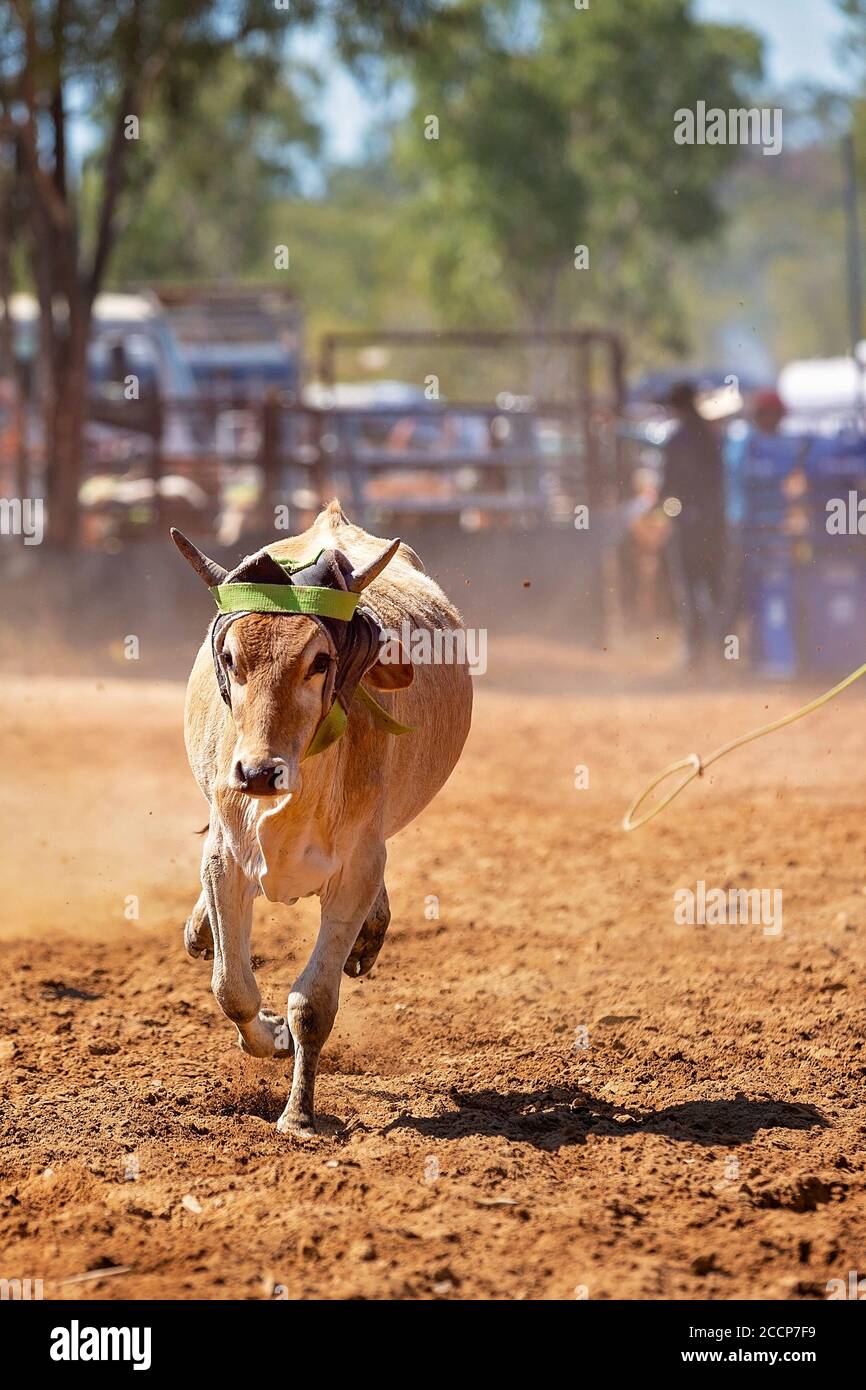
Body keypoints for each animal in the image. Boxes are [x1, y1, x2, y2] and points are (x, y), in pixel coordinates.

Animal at [172, 501, 472, 1135]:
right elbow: (231, 987)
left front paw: (298, 1115)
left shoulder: (356, 867)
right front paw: (268, 1038)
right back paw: (199, 928)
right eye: (230, 658)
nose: (258, 773)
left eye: (320, 661)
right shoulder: (224, 856)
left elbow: (313, 1006)